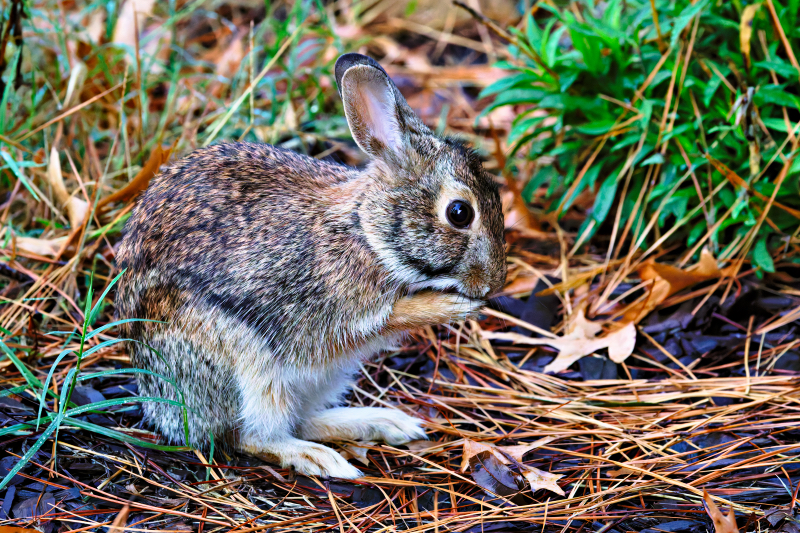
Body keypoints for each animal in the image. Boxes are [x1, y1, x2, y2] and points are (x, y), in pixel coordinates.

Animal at [113, 54, 506, 478]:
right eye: (459, 213)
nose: (495, 283)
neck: (366, 231)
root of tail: (161, 412)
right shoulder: (336, 312)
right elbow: (392, 315)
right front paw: (452, 307)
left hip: (320, 379)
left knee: (299, 420)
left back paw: (382, 422)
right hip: (242, 363)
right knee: (251, 436)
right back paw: (319, 458)